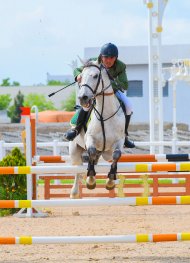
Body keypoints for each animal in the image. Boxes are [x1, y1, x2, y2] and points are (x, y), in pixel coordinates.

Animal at [69, 60, 125, 199]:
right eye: (81, 76)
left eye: (95, 76)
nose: (82, 98)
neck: (105, 115)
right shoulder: (90, 138)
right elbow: (92, 152)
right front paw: (90, 181)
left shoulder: (118, 142)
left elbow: (116, 155)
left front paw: (110, 181)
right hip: (74, 151)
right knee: (77, 169)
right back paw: (74, 192)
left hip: (103, 153)